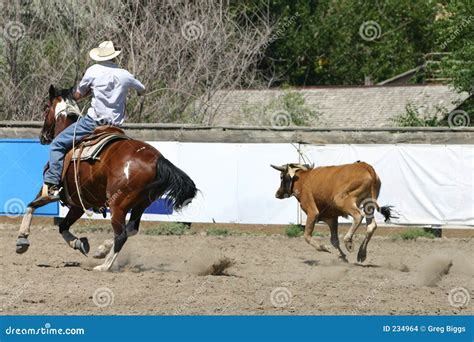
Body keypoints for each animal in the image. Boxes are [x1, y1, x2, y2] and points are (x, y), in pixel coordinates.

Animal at [15, 86, 196, 272]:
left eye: (46, 108)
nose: (42, 136)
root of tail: (157, 160)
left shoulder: (59, 195)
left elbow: (31, 206)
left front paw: (22, 240)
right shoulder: (79, 204)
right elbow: (61, 225)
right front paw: (80, 244)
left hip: (118, 203)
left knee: (121, 234)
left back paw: (104, 266)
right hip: (142, 203)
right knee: (131, 229)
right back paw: (102, 251)